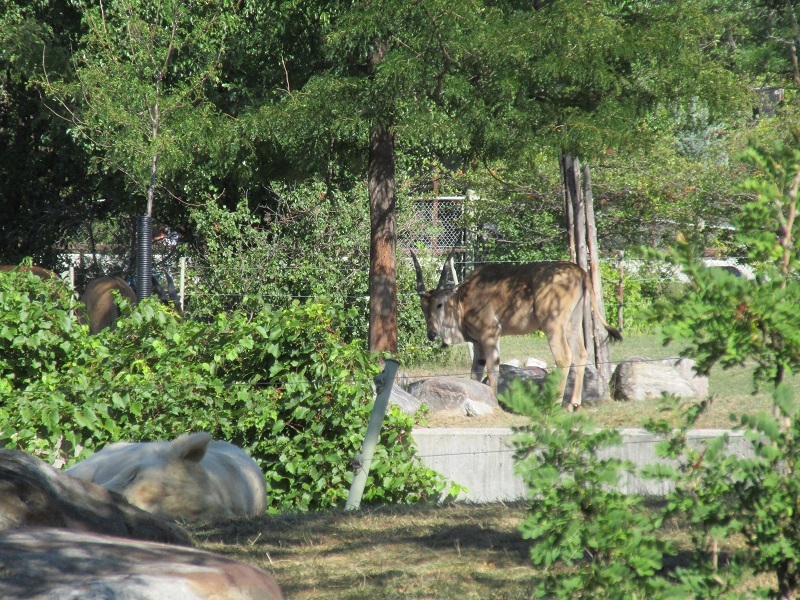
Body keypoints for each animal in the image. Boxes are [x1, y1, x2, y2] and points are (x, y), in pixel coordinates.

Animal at [410, 251, 620, 410]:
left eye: (439, 304)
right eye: (422, 307)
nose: (432, 334)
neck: (462, 301)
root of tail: (579, 270)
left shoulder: (491, 334)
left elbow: (493, 369)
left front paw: (495, 400)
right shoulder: (478, 343)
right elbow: (475, 373)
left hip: (553, 324)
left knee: (564, 356)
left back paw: (557, 402)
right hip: (573, 323)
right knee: (580, 353)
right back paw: (573, 403)